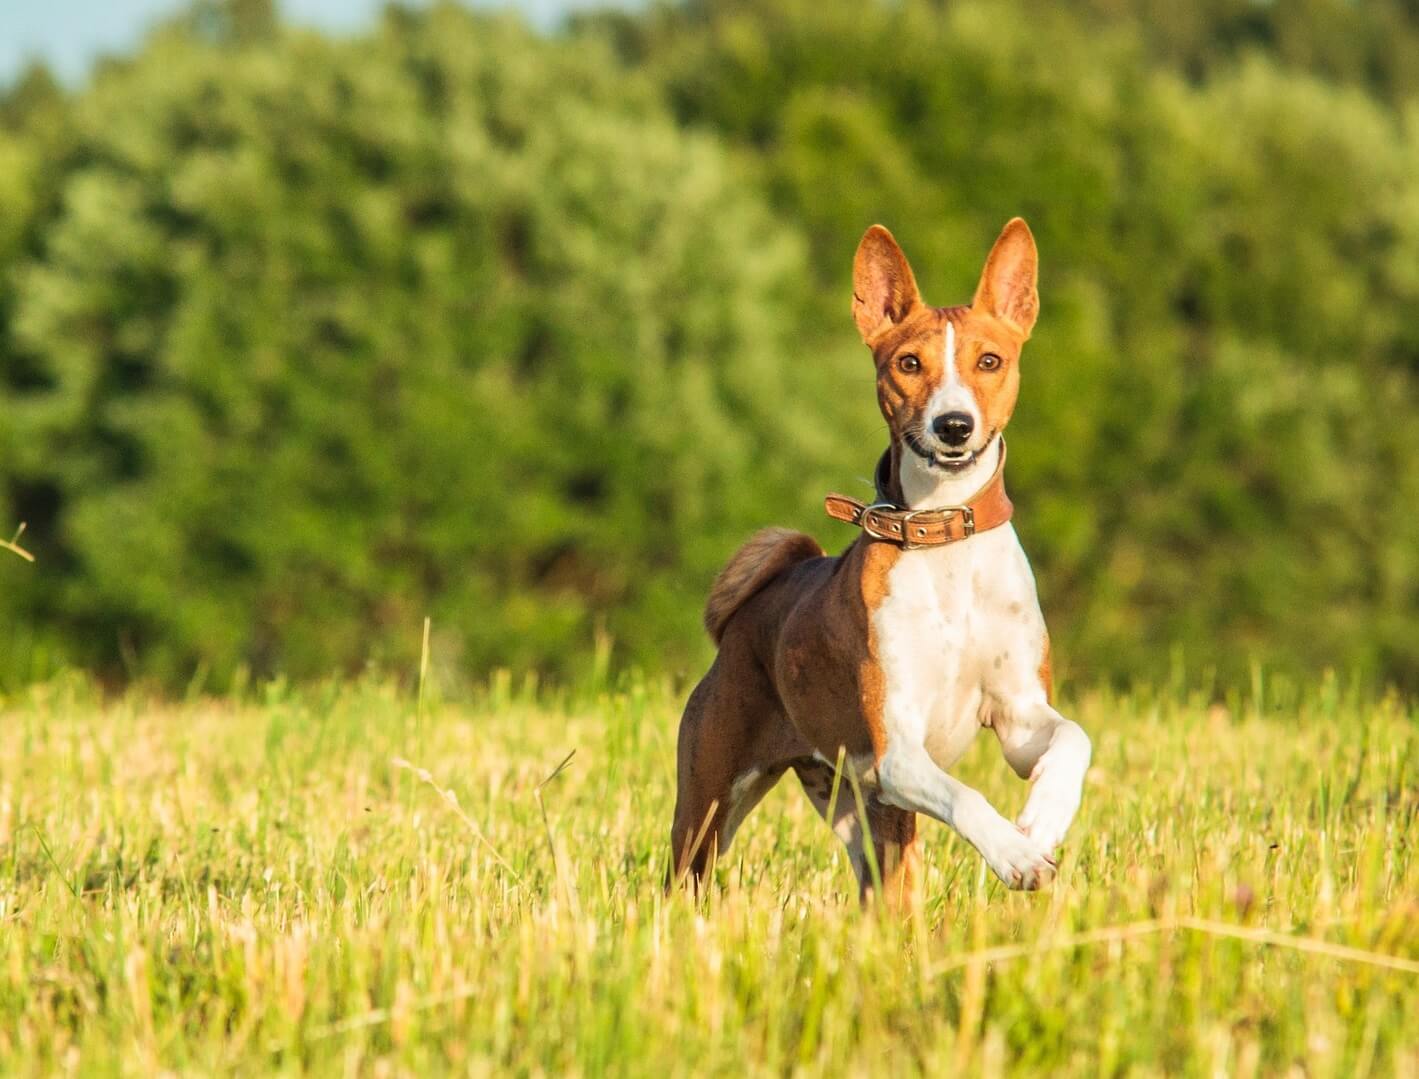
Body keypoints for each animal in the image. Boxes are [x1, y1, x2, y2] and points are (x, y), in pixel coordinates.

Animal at [669, 217, 1089, 902]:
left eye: (990, 361)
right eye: (909, 364)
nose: (953, 425)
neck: (945, 541)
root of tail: (751, 612)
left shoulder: (1020, 717)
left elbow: (1075, 739)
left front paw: (1042, 821)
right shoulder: (897, 751)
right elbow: (968, 797)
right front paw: (1014, 854)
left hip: (862, 814)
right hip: (712, 804)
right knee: (685, 876)